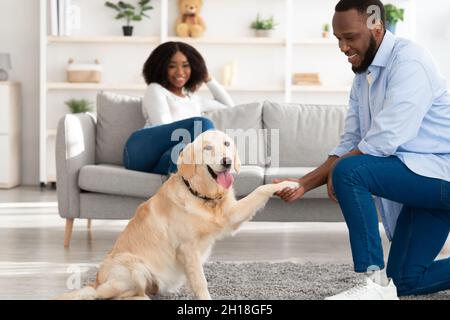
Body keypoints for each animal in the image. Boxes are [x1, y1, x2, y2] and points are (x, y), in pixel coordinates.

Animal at [56, 130, 298, 300]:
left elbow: (260, 190)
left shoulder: (230, 216)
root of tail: (96, 282)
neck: (202, 195)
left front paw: (287, 183)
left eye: (227, 144)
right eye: (207, 148)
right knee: (113, 296)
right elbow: (200, 282)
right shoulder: (188, 249)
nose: (227, 162)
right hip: (133, 267)